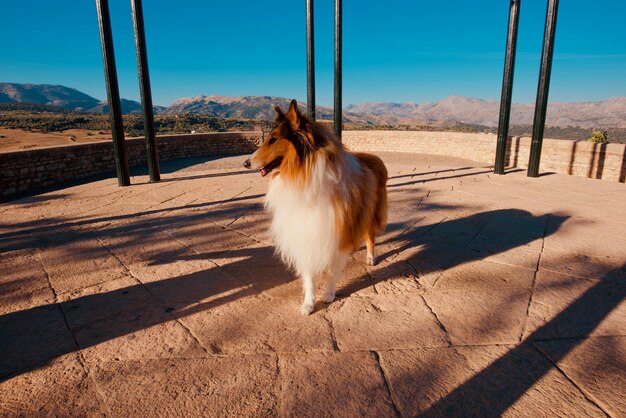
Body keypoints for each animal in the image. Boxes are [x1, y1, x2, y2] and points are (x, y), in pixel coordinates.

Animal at [243, 99, 386, 316]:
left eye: (273, 140)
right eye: (268, 138)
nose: (245, 163)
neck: (302, 176)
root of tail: (373, 157)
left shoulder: (337, 230)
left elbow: (333, 270)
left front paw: (328, 294)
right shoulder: (305, 232)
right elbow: (309, 274)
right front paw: (308, 304)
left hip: (369, 212)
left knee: (370, 236)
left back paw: (370, 257)